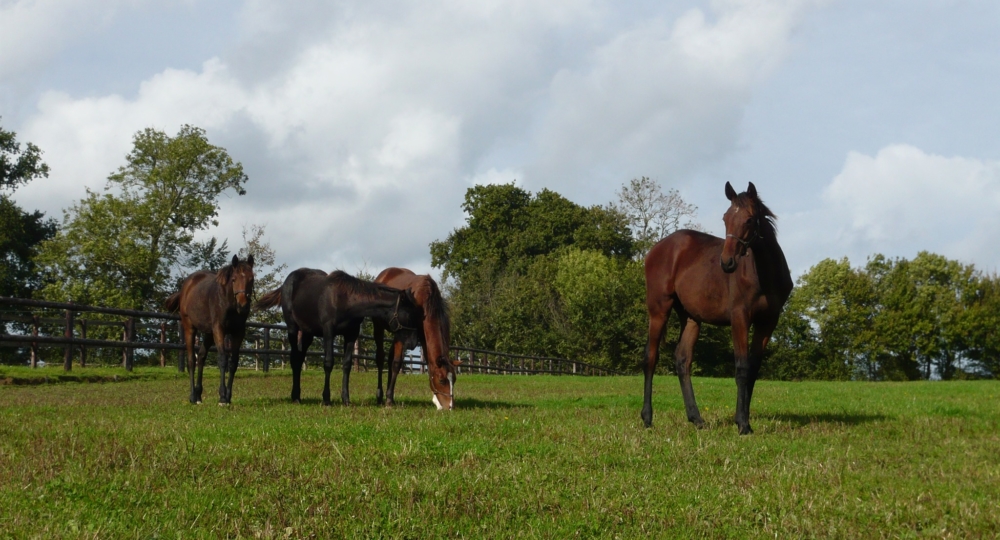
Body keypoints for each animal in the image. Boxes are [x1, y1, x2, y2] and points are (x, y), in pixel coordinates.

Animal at [164, 255, 254, 402]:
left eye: (251, 279)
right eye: (234, 279)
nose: (243, 306)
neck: (227, 301)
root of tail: (185, 288)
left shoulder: (238, 332)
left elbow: (233, 363)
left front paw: (228, 396)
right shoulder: (219, 329)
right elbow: (222, 359)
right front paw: (222, 397)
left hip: (209, 333)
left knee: (201, 356)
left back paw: (198, 395)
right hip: (190, 328)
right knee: (191, 360)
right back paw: (192, 396)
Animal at [254, 268, 422, 408]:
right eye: (410, 315)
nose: (412, 343)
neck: (346, 299)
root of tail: (287, 282)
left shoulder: (351, 334)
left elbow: (346, 365)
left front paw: (345, 399)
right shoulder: (329, 332)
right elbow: (329, 362)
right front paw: (326, 399)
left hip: (308, 333)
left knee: (300, 358)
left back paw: (298, 395)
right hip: (292, 329)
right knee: (295, 358)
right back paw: (295, 397)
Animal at [372, 268, 458, 412]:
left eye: (454, 380)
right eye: (441, 380)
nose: (450, 406)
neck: (424, 300)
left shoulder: (423, 337)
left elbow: (428, 363)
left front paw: (437, 402)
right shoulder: (401, 335)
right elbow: (396, 364)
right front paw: (388, 400)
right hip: (378, 327)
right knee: (380, 358)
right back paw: (380, 395)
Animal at [644, 182, 792, 434]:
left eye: (750, 219)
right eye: (725, 218)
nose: (727, 262)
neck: (765, 275)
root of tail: (656, 249)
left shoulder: (768, 321)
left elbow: (753, 369)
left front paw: (743, 419)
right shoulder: (740, 317)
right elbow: (741, 368)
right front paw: (742, 424)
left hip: (691, 318)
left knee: (683, 359)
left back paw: (696, 419)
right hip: (659, 310)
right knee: (651, 357)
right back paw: (647, 417)